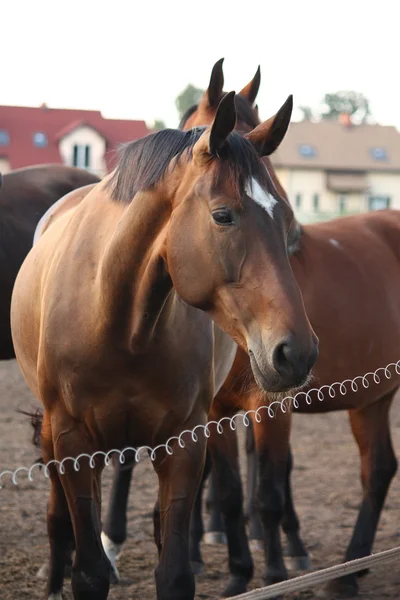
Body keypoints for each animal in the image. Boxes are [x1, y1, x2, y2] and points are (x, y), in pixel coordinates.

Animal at [10, 95, 318, 600]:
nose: (297, 352)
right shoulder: (74, 440)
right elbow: (89, 572)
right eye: (222, 215)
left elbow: (173, 571)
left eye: (286, 220)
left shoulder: (184, 441)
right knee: (59, 510)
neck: (116, 317)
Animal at [99, 57, 400, 600]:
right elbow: (232, 493)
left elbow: (269, 494)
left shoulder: (271, 405)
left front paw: (277, 572)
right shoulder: (216, 409)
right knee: (379, 468)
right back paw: (351, 569)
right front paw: (239, 572)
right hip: (373, 396)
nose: (293, 232)